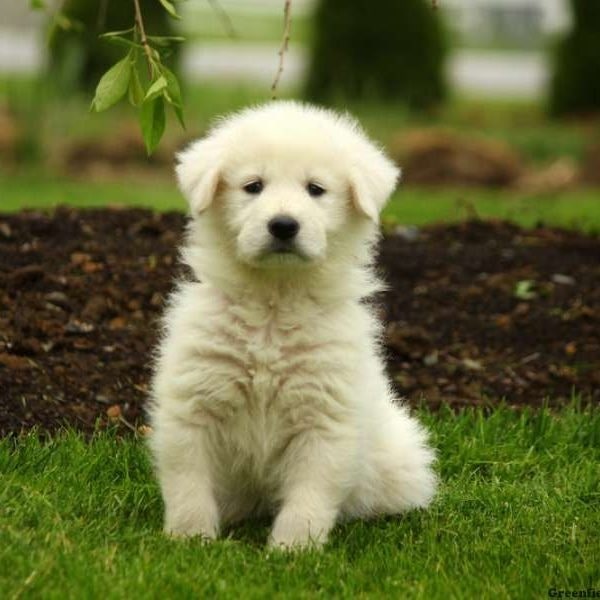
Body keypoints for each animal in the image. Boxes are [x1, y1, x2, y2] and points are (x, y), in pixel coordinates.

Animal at [148, 102, 434, 548]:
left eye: (315, 189)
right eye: (253, 186)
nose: (283, 225)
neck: (274, 306)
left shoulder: (325, 415)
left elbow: (310, 492)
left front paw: (293, 548)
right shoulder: (194, 401)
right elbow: (188, 481)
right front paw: (191, 539)